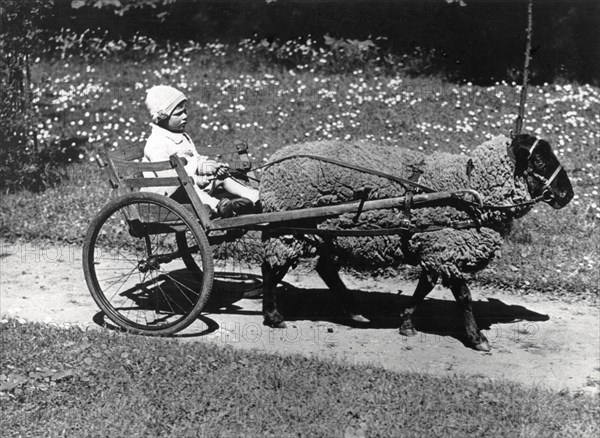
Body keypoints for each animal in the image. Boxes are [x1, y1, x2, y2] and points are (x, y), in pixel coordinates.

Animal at [256, 134, 572, 352]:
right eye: (539, 161)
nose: (568, 195)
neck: (470, 188)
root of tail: (273, 163)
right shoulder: (446, 248)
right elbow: (464, 296)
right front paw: (477, 338)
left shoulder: (435, 248)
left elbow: (424, 288)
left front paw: (407, 323)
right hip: (289, 229)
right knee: (271, 269)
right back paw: (274, 316)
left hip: (328, 233)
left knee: (325, 270)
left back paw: (355, 312)